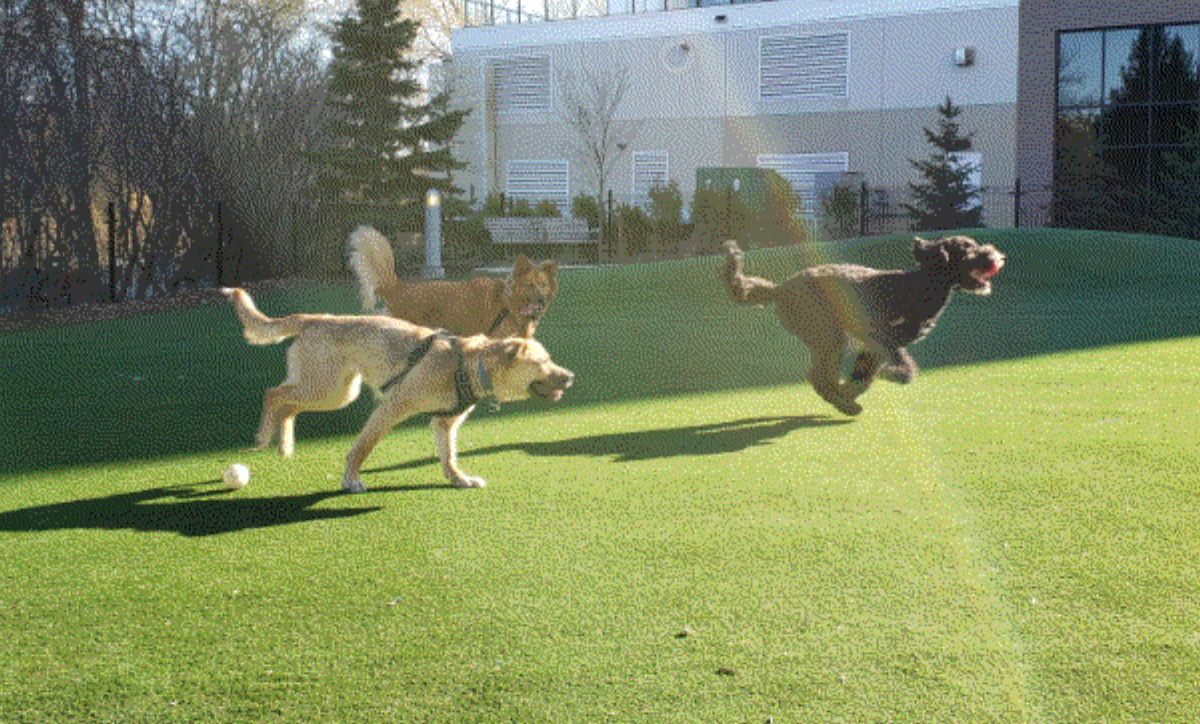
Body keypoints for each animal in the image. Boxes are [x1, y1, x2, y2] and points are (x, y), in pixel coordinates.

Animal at [222, 285, 576, 489]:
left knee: (288, 405)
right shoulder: (390, 408)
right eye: (543, 362)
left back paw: (284, 444)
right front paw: (351, 480)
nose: (571, 376)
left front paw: (458, 479)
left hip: (334, 392)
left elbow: (449, 457)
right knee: (274, 394)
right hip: (327, 388)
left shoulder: (444, 424)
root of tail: (315, 318)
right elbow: (361, 448)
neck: (467, 364)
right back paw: (264, 436)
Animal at [720, 236, 1003, 415]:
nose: (998, 256)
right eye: (968, 250)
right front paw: (890, 376)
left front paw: (854, 388)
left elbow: (865, 374)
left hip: (828, 337)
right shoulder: (881, 337)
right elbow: (904, 371)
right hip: (828, 334)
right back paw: (845, 406)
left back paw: (841, 399)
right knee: (817, 376)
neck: (921, 284)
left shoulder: (878, 346)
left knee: (823, 377)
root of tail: (779, 289)